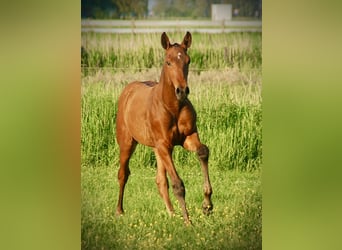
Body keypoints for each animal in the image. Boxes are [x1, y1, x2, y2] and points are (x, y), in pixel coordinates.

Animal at [115, 30, 211, 224]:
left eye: (188, 61)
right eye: (168, 61)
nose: (182, 91)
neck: (172, 107)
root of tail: (128, 90)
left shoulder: (188, 137)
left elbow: (203, 152)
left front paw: (207, 205)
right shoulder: (164, 145)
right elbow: (178, 184)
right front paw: (188, 222)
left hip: (157, 148)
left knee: (160, 180)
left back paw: (172, 213)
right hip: (128, 143)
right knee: (123, 174)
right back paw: (120, 211)